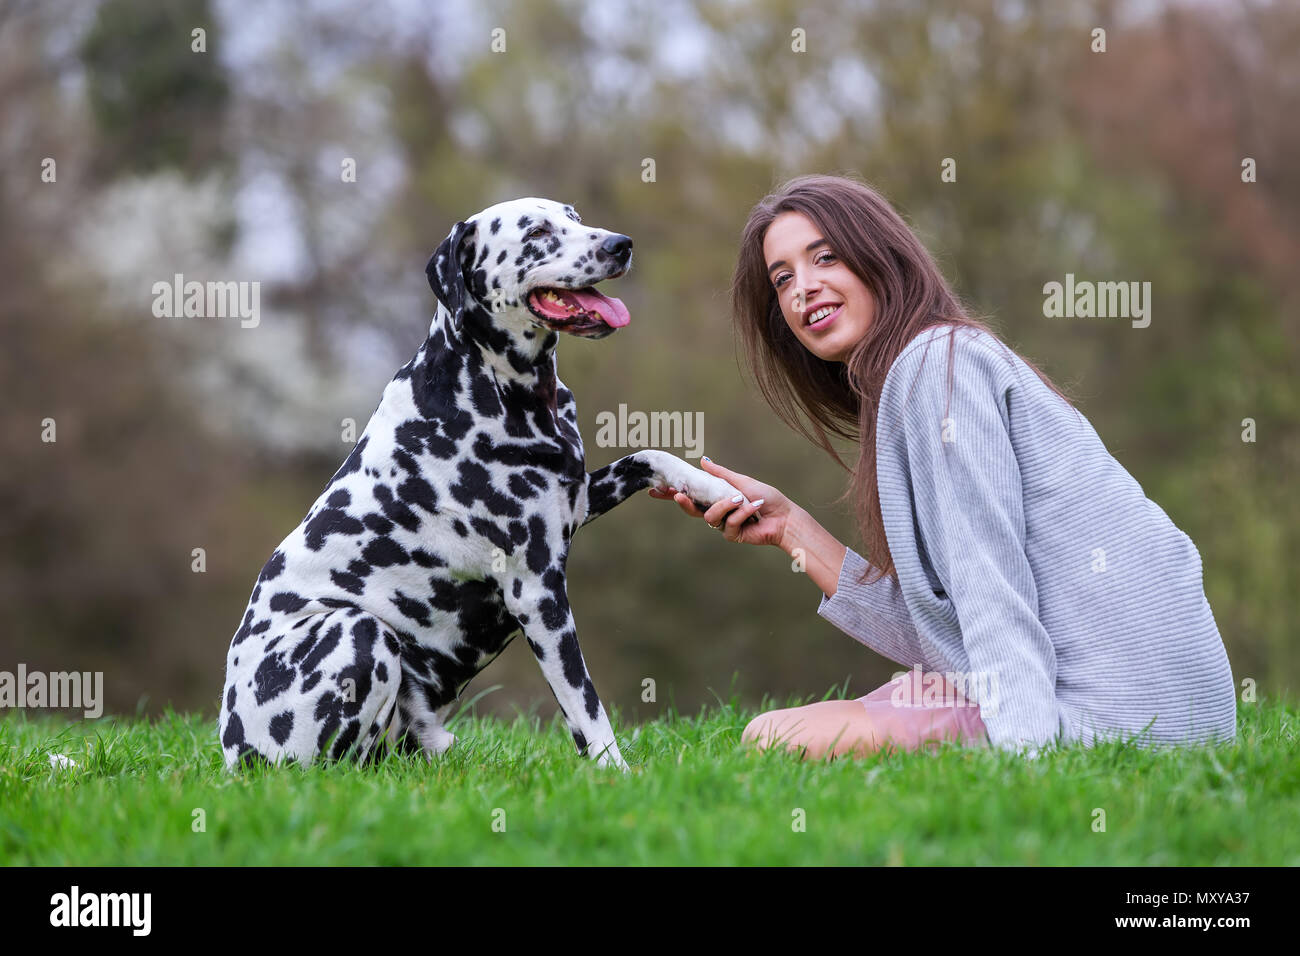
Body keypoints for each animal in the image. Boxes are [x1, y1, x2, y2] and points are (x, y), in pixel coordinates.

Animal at [218, 197, 754, 775]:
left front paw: (718, 492)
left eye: (574, 216)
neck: (499, 389)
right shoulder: (538, 593)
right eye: (537, 231)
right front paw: (616, 774)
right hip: (360, 631)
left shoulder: (575, 498)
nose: (621, 244)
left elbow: (651, 456)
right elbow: (584, 704)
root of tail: (232, 748)